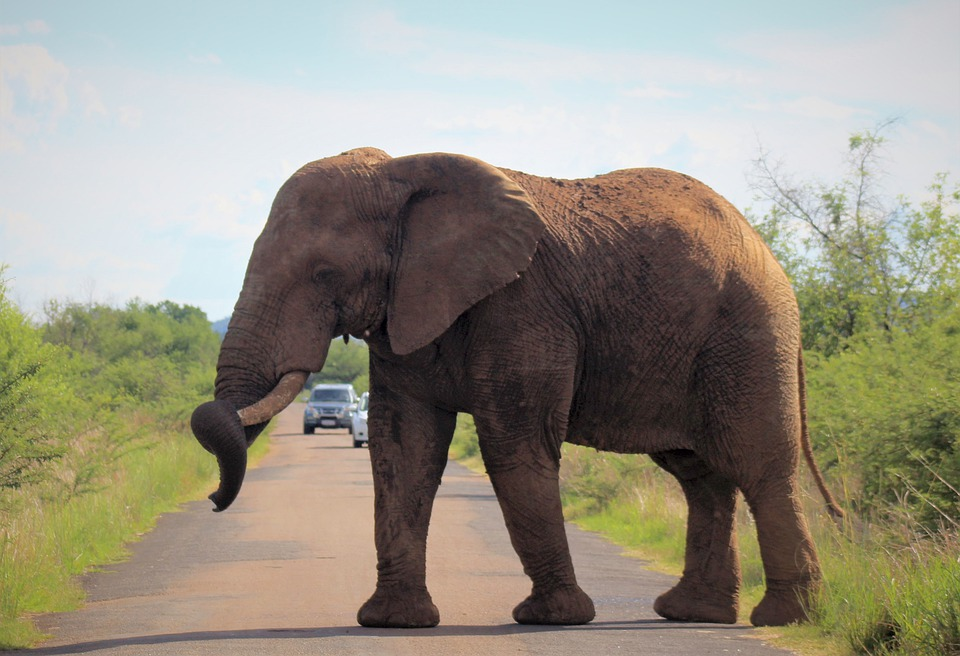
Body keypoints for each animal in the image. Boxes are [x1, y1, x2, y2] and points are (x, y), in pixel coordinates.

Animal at [189, 147, 840, 632]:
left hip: (749, 335)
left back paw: (784, 619)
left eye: (325, 273)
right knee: (699, 475)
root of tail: (769, 254)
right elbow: (403, 451)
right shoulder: (407, 309)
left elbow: (513, 448)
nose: (214, 501)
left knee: (759, 466)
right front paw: (392, 623)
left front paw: (551, 619)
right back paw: (693, 614)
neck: (404, 172)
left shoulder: (524, 304)